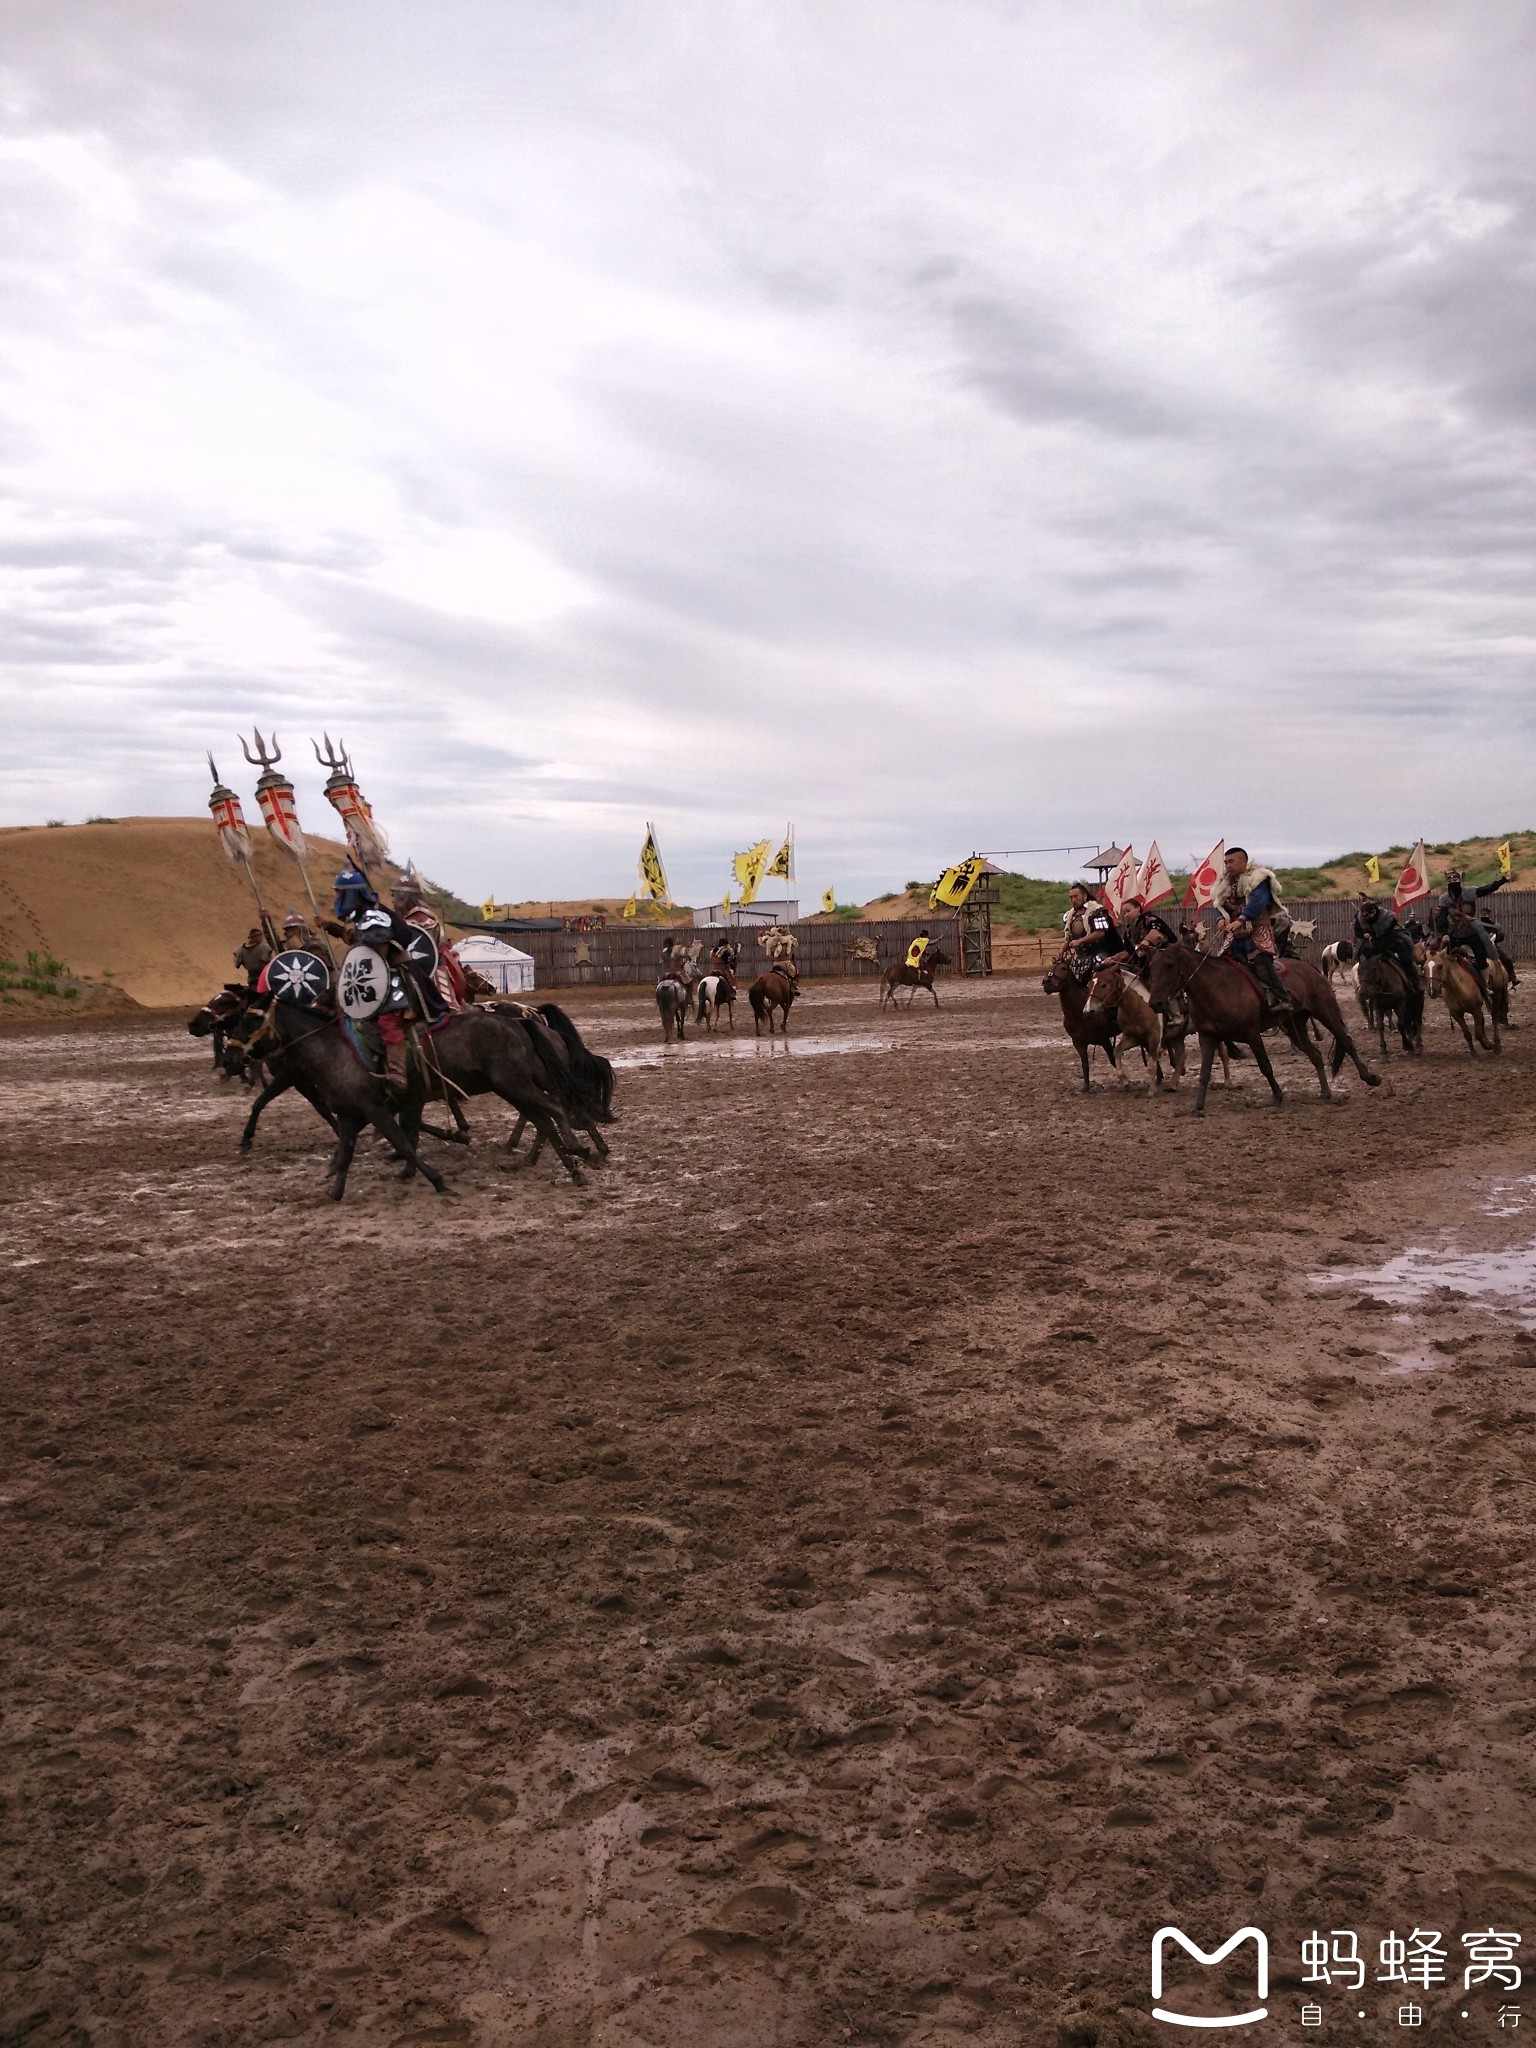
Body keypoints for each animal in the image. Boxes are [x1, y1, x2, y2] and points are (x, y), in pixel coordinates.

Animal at [1040, 954, 1122, 1097]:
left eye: (1063, 968)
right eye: (1051, 967)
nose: (1046, 982)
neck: (1080, 1013)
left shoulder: (1104, 1040)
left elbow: (1113, 1060)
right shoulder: (1078, 1043)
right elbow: (1085, 1064)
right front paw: (1086, 1087)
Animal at [1089, 958, 1187, 1089]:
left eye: (1103, 985)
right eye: (1089, 985)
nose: (1089, 1010)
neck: (1137, 1005)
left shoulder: (1154, 1038)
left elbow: (1152, 1064)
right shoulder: (1134, 1037)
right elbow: (1117, 1051)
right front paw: (1124, 1081)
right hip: (1178, 1036)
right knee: (1181, 1055)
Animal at [1146, 937, 1384, 1114]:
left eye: (1169, 965)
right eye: (1151, 968)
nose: (1155, 1003)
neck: (1217, 987)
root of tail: (1311, 969)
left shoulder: (1252, 1034)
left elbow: (1265, 1066)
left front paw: (1277, 1095)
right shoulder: (1207, 1037)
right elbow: (1204, 1073)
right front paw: (1197, 1105)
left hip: (1326, 1013)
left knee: (1346, 1042)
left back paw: (1370, 1078)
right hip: (1295, 1026)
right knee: (1315, 1054)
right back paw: (1325, 1092)